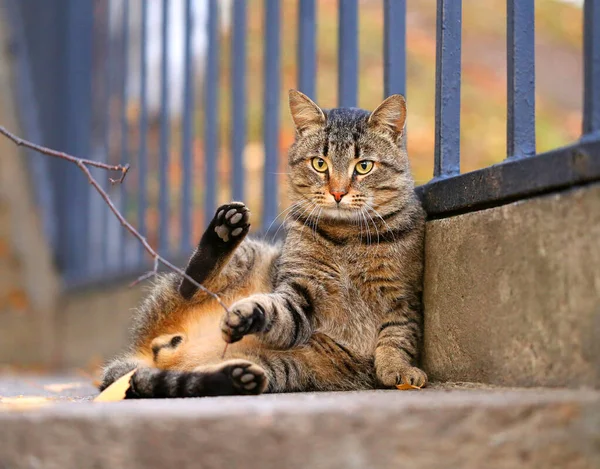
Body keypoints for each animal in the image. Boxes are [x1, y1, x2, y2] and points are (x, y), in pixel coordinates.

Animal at [99, 89, 426, 396]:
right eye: (320, 164)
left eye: (364, 166)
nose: (337, 193)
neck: (345, 237)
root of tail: (145, 354)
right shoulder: (300, 293)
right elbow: (277, 310)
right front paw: (248, 314)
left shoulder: (404, 297)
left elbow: (397, 336)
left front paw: (398, 368)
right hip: (250, 254)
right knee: (188, 285)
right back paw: (224, 231)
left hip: (278, 369)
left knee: (196, 380)